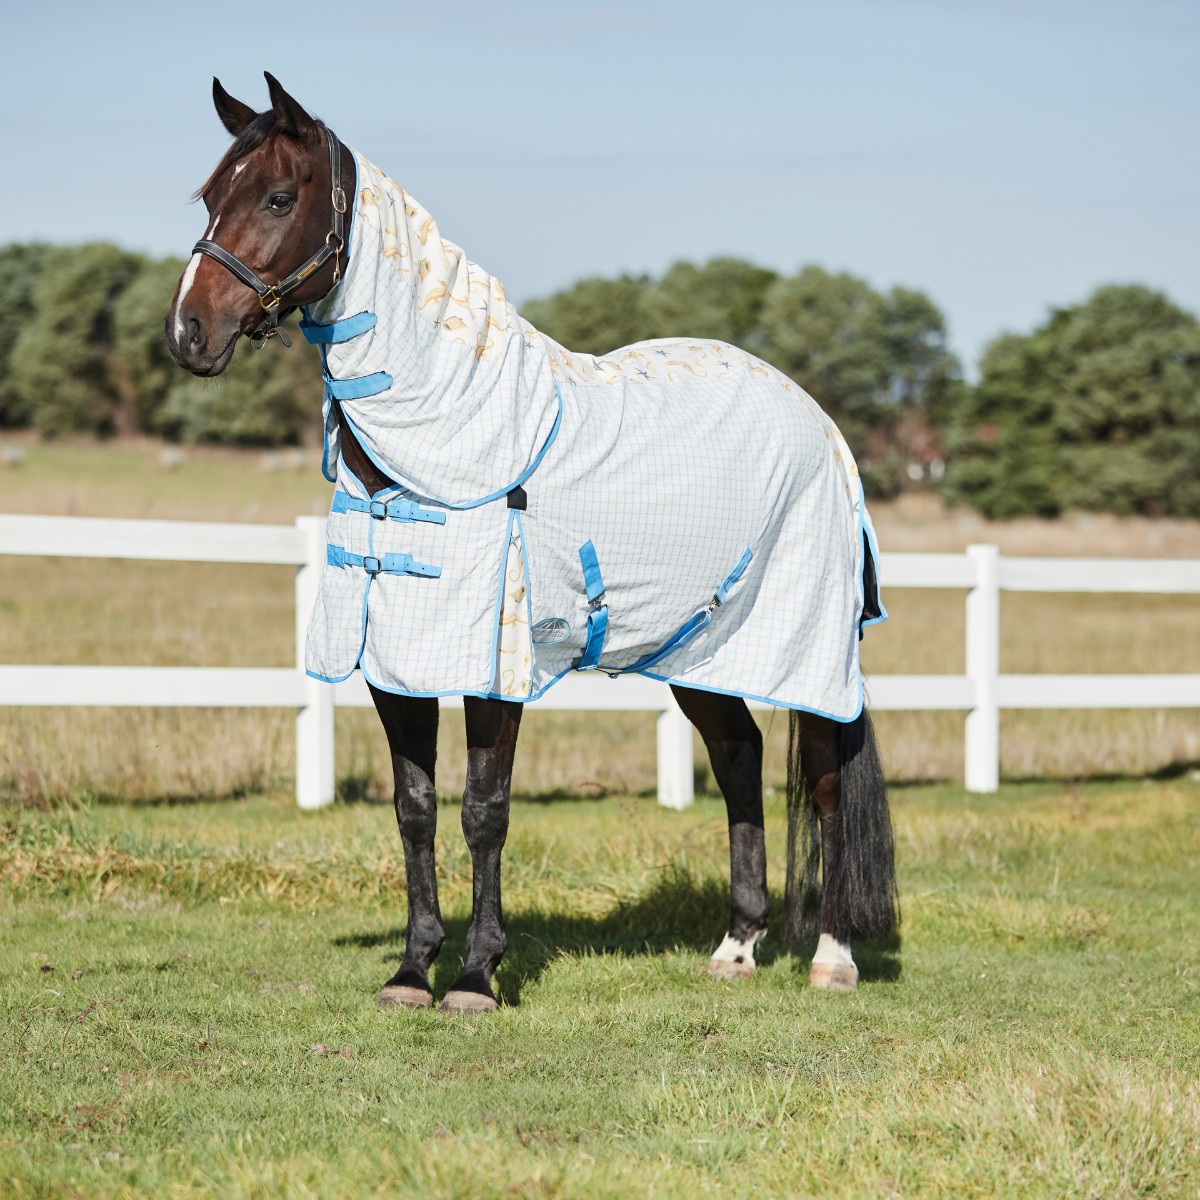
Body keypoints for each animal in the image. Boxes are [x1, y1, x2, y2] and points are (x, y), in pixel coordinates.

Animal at [165, 73, 899, 1014]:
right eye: (209, 196)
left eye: (278, 197)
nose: (189, 332)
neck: (450, 434)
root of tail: (818, 422)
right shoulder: (394, 661)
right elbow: (414, 807)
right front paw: (412, 970)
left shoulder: (493, 667)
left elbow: (484, 810)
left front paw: (477, 975)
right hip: (700, 650)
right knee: (739, 758)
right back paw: (736, 947)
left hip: (806, 651)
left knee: (827, 778)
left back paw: (832, 957)